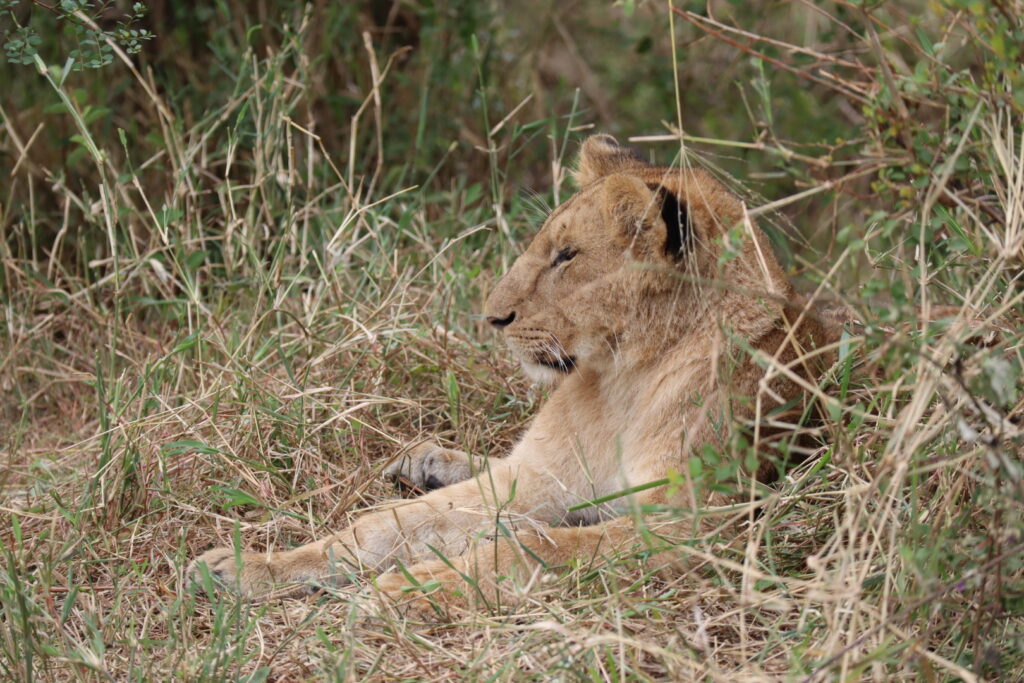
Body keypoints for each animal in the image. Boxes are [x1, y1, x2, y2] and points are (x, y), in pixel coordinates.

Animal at [190, 135, 831, 614]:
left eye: (567, 256)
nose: (492, 317)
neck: (624, 378)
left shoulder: (699, 529)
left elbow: (530, 549)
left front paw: (402, 590)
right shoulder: (541, 480)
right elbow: (384, 527)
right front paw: (247, 567)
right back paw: (426, 461)